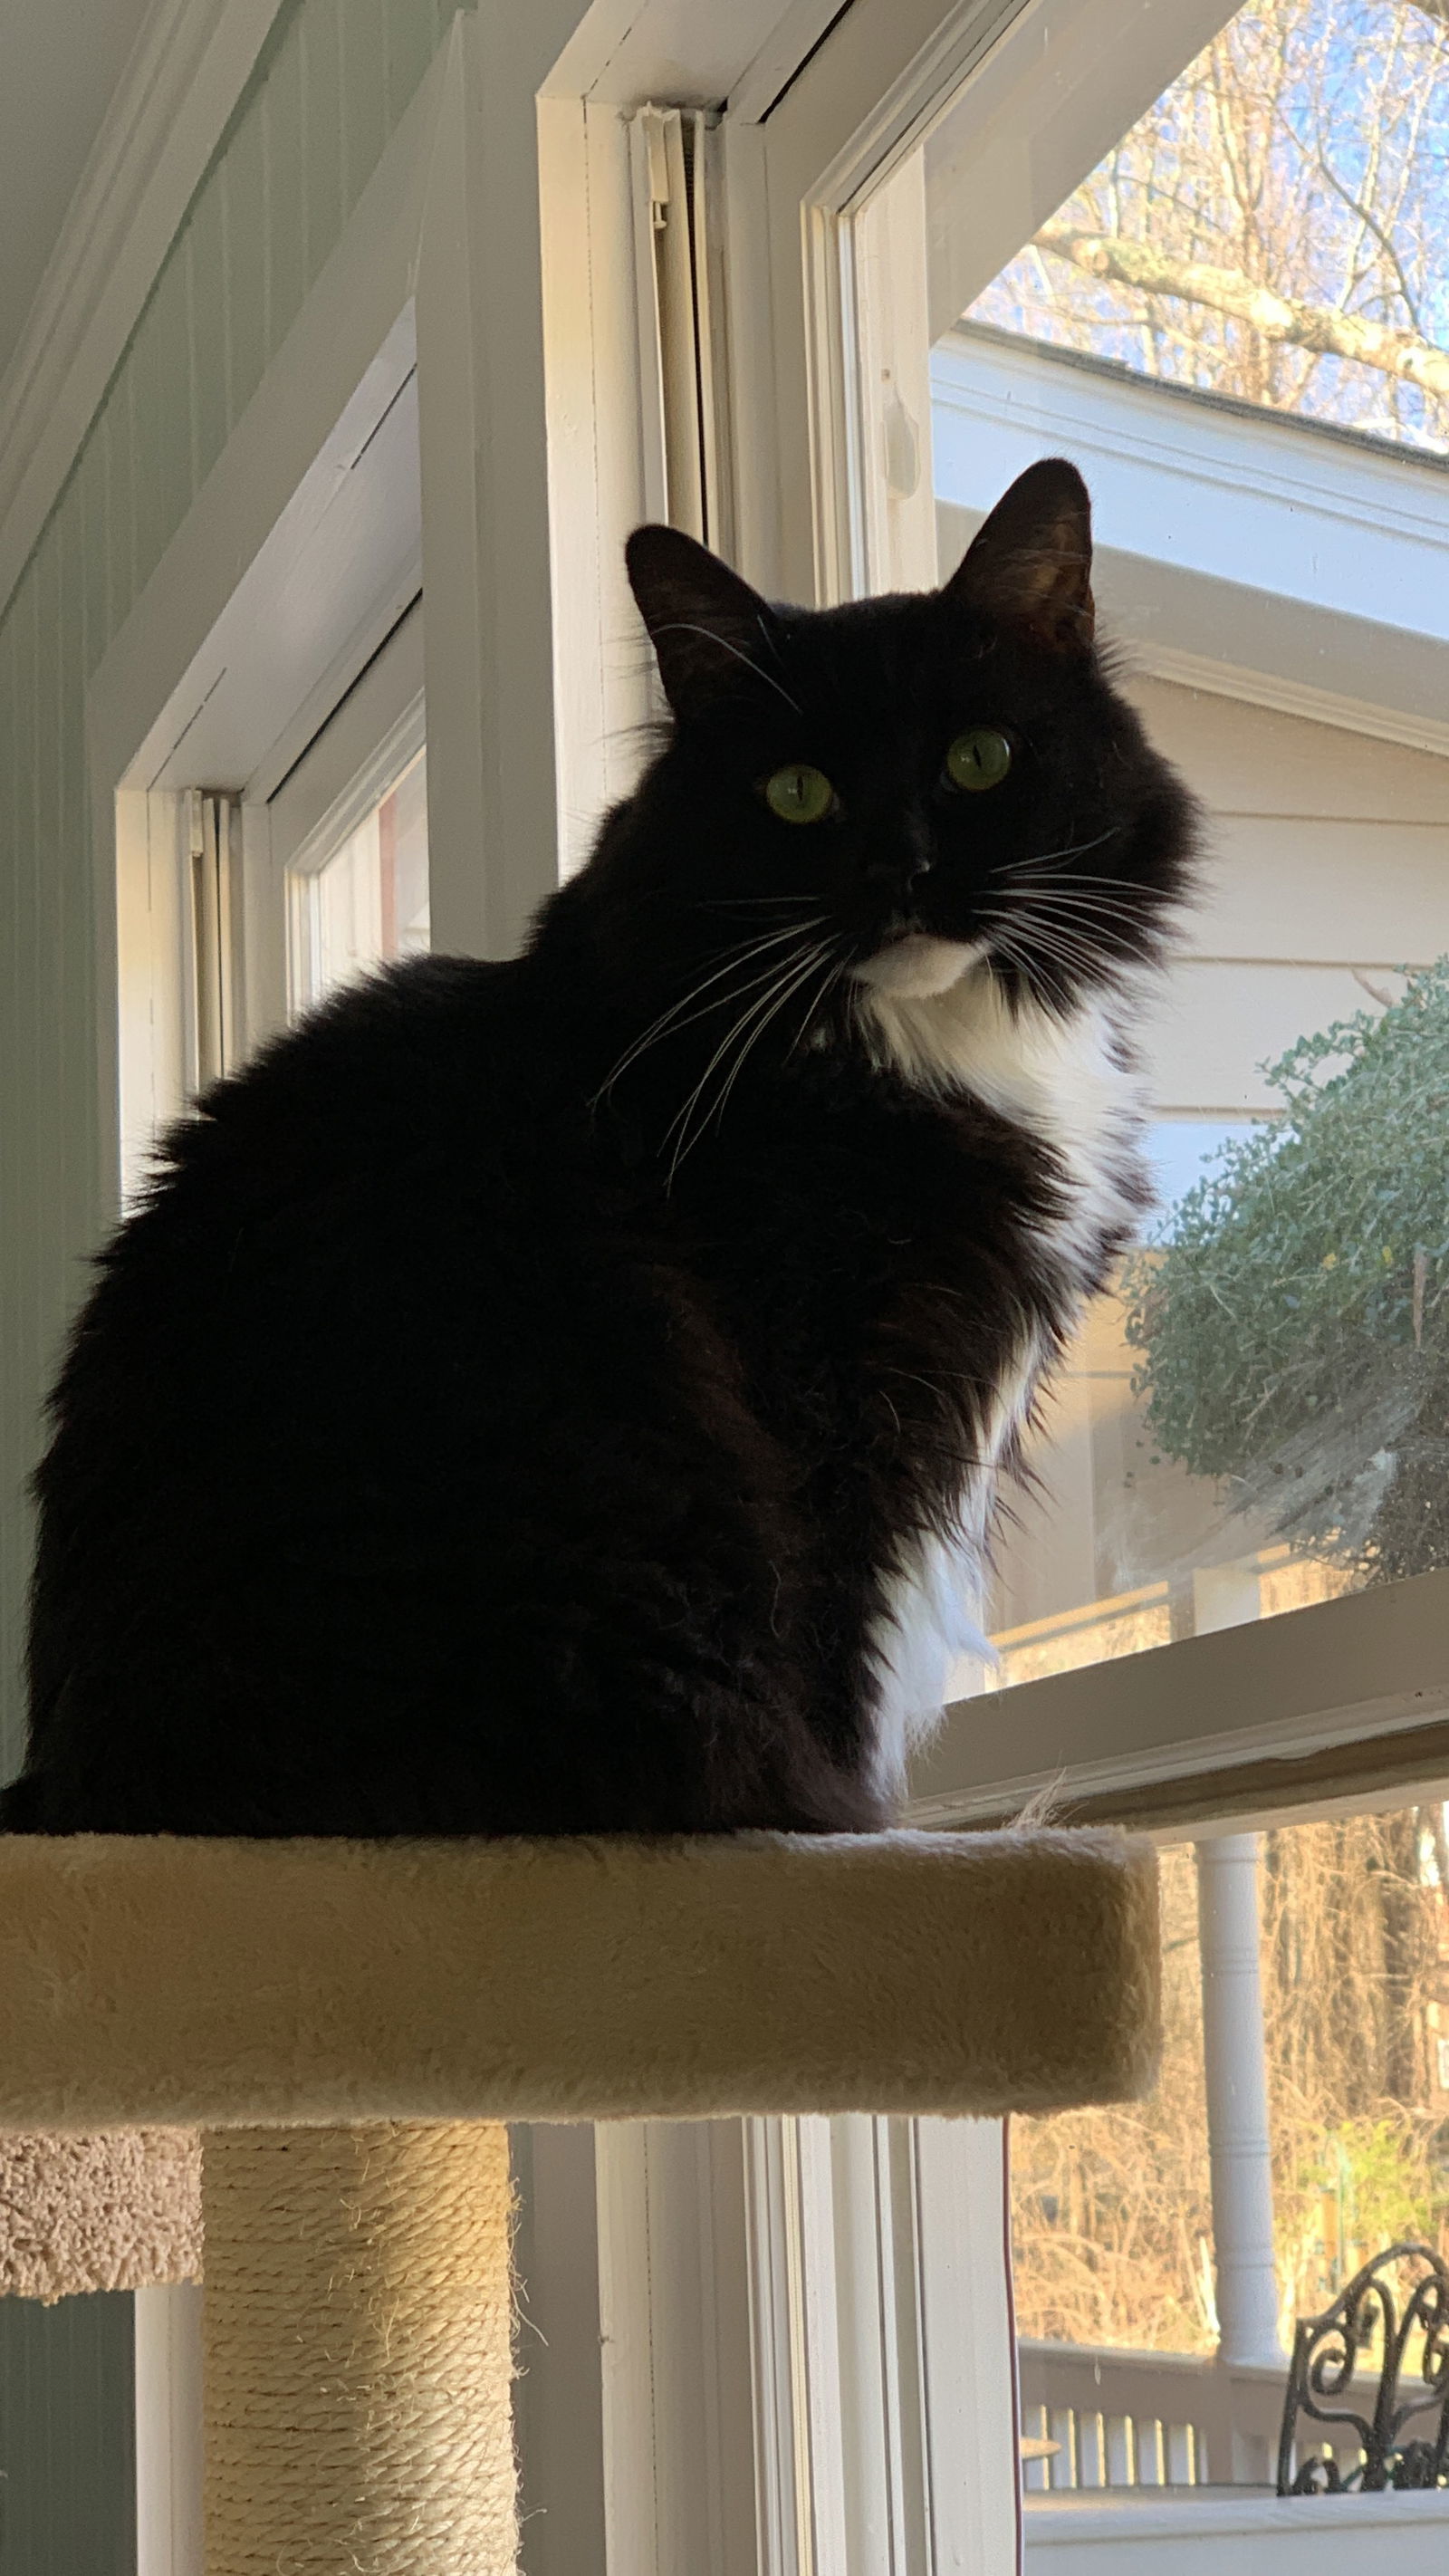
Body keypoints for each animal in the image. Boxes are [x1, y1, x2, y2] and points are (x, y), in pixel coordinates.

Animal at [5, 463, 1194, 1833]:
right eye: (796, 792)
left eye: (979, 760)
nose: (899, 870)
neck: (905, 1044)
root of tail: (70, 1781)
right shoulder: (837, 1398)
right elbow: (846, 1659)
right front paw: (863, 1826)